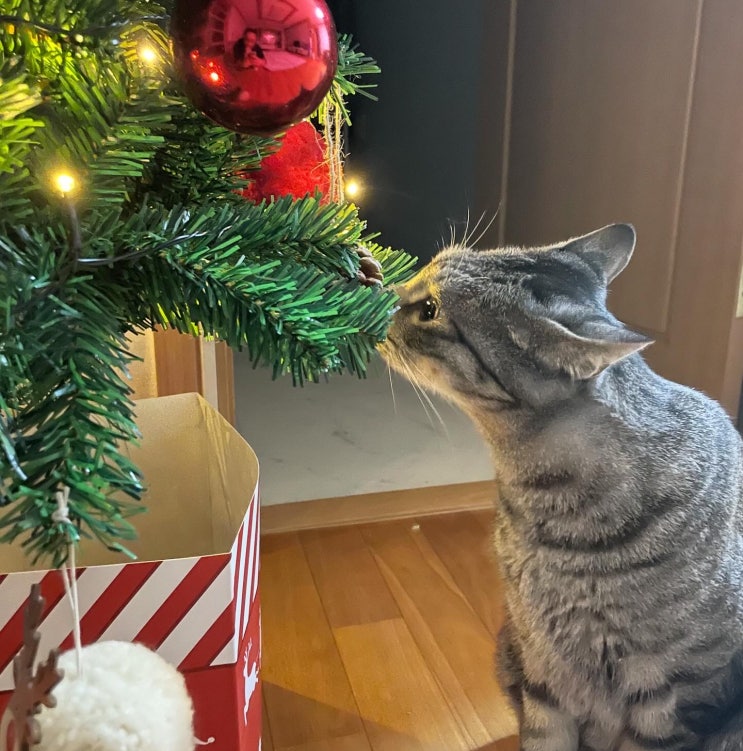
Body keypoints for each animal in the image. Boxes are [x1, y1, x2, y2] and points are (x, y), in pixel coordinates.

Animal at [378, 224, 743, 751]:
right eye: (422, 269)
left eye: (429, 309)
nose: (376, 291)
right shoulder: (543, 668)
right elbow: (543, 736)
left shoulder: (674, 699)